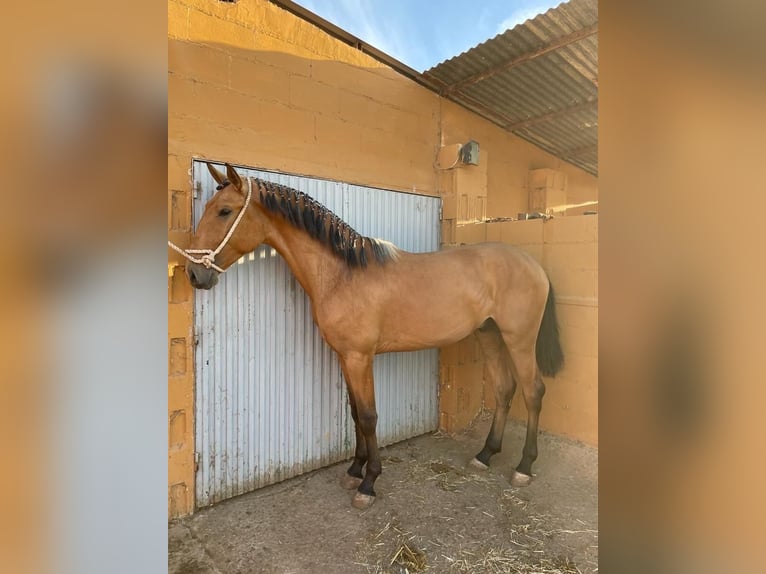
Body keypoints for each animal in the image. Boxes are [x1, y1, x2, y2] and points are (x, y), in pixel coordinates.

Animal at [178, 163, 564, 512]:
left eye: (225, 211)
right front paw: (354, 469)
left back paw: (524, 466)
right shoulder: (345, 356)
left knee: (533, 391)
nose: (195, 274)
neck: (342, 274)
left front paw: (369, 483)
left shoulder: (360, 357)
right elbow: (353, 413)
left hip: (519, 339)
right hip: (490, 335)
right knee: (504, 389)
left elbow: (368, 416)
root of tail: (534, 264)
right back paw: (485, 454)